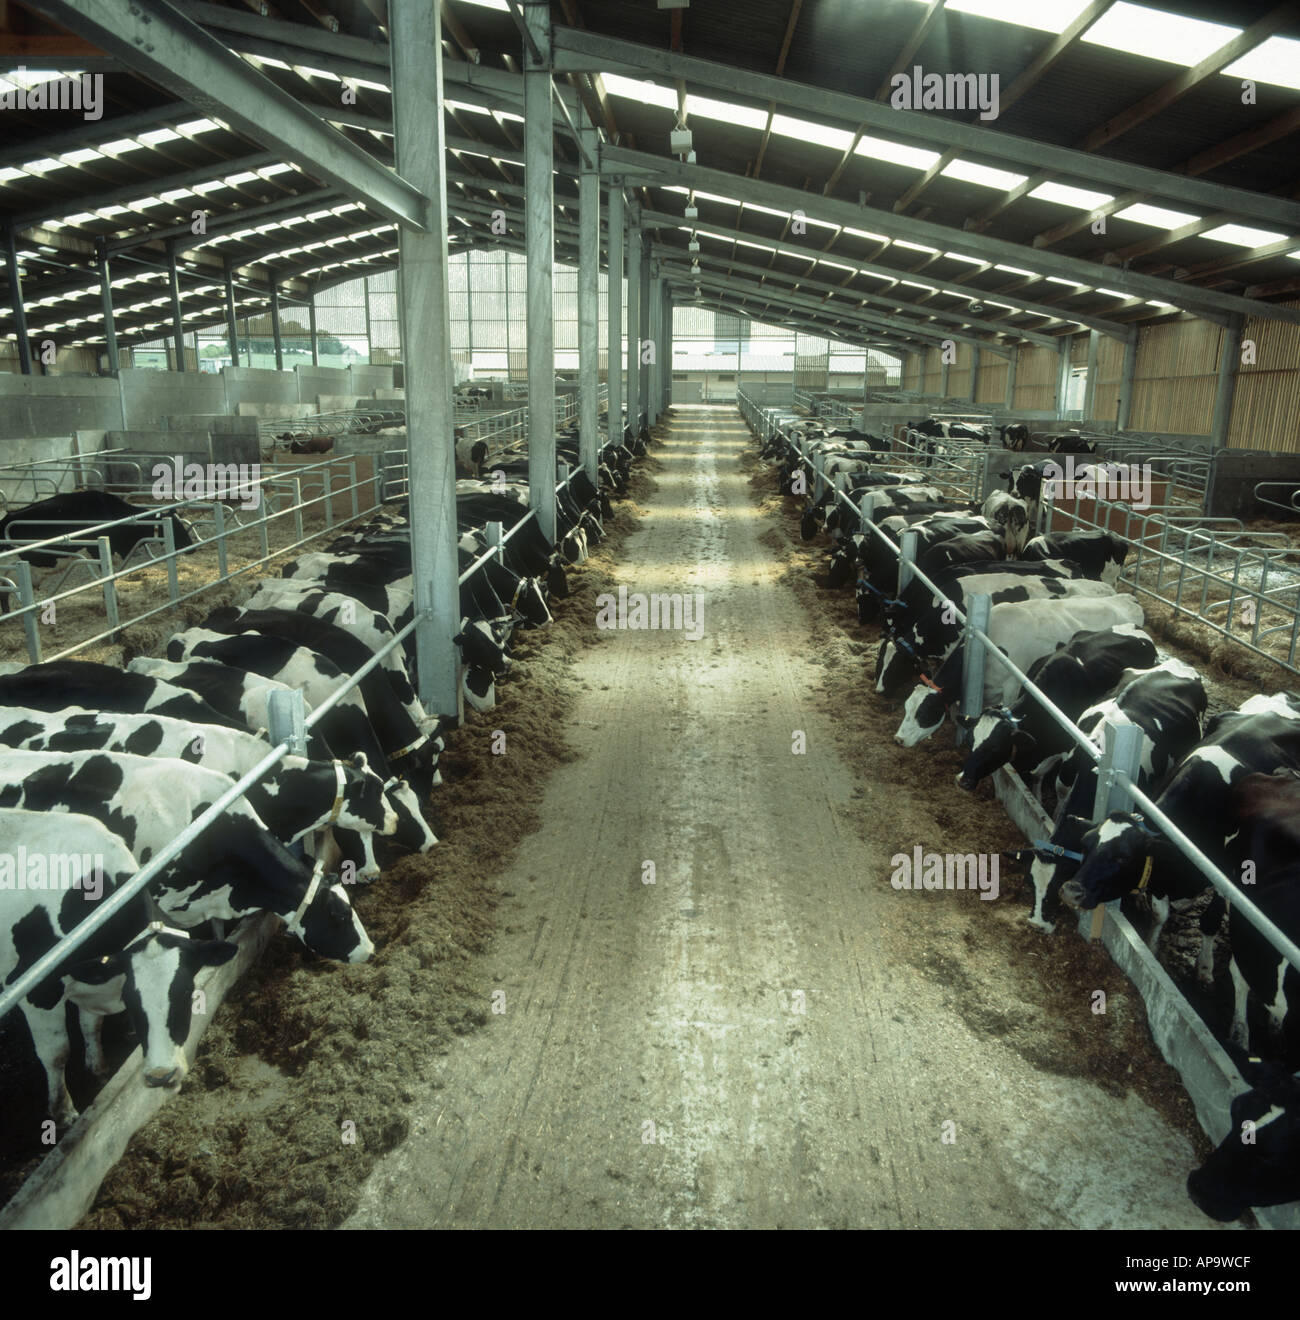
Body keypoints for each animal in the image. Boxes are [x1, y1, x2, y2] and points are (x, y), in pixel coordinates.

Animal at [0, 802, 237, 1124]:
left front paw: (98, 1068)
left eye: (188, 993)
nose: (162, 1076)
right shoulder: (34, 990)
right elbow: (56, 1052)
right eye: (131, 999)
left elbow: (91, 1023)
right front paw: (64, 1111)